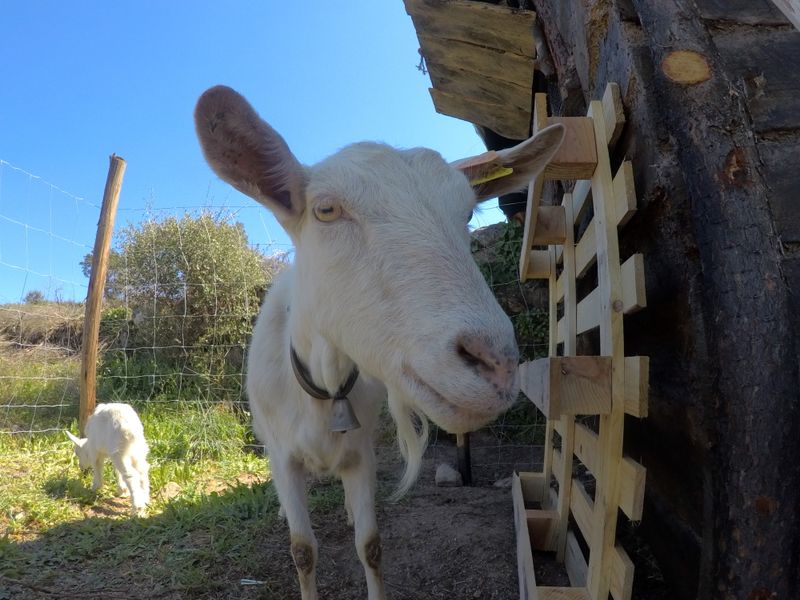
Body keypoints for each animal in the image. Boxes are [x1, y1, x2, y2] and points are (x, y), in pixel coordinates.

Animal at [194, 85, 564, 599]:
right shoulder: (284, 458)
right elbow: (302, 551)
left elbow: (370, 544)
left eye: (467, 212)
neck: (322, 388)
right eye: (326, 209)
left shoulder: (361, 454)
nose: (496, 363)